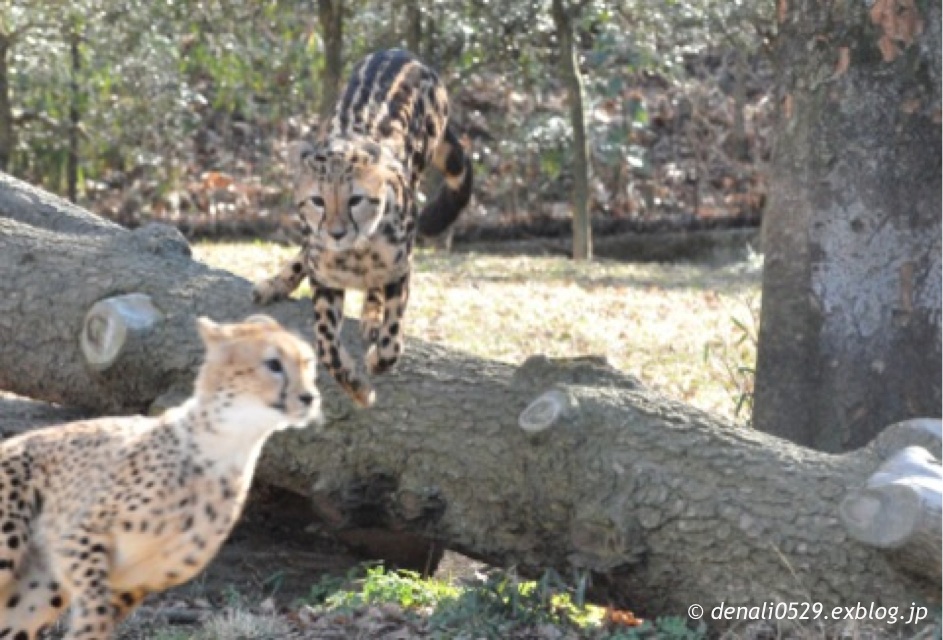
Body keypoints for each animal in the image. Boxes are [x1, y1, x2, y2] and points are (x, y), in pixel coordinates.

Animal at [0, 316, 320, 640]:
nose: (310, 397)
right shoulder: (79, 535)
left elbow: (97, 620)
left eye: (307, 363)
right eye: (274, 364)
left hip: (40, 587)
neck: (227, 445)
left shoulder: (135, 582)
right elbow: (94, 608)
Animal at [254, 51, 472, 410]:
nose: (336, 233)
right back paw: (277, 283)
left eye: (355, 199)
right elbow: (326, 346)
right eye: (318, 200)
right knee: (305, 254)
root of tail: (402, 53)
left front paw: (376, 359)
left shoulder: (400, 266)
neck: (356, 252)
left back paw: (371, 314)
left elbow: (393, 337)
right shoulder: (325, 277)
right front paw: (356, 387)